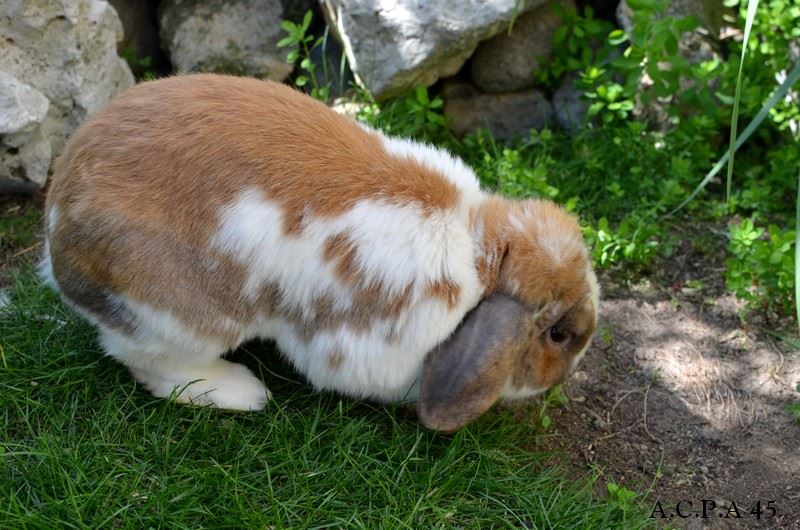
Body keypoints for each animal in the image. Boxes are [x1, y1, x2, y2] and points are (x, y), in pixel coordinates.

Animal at [40, 74, 596, 428]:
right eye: (559, 334)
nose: (570, 371)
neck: (479, 249)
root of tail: (57, 225)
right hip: (182, 321)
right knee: (149, 364)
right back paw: (243, 392)